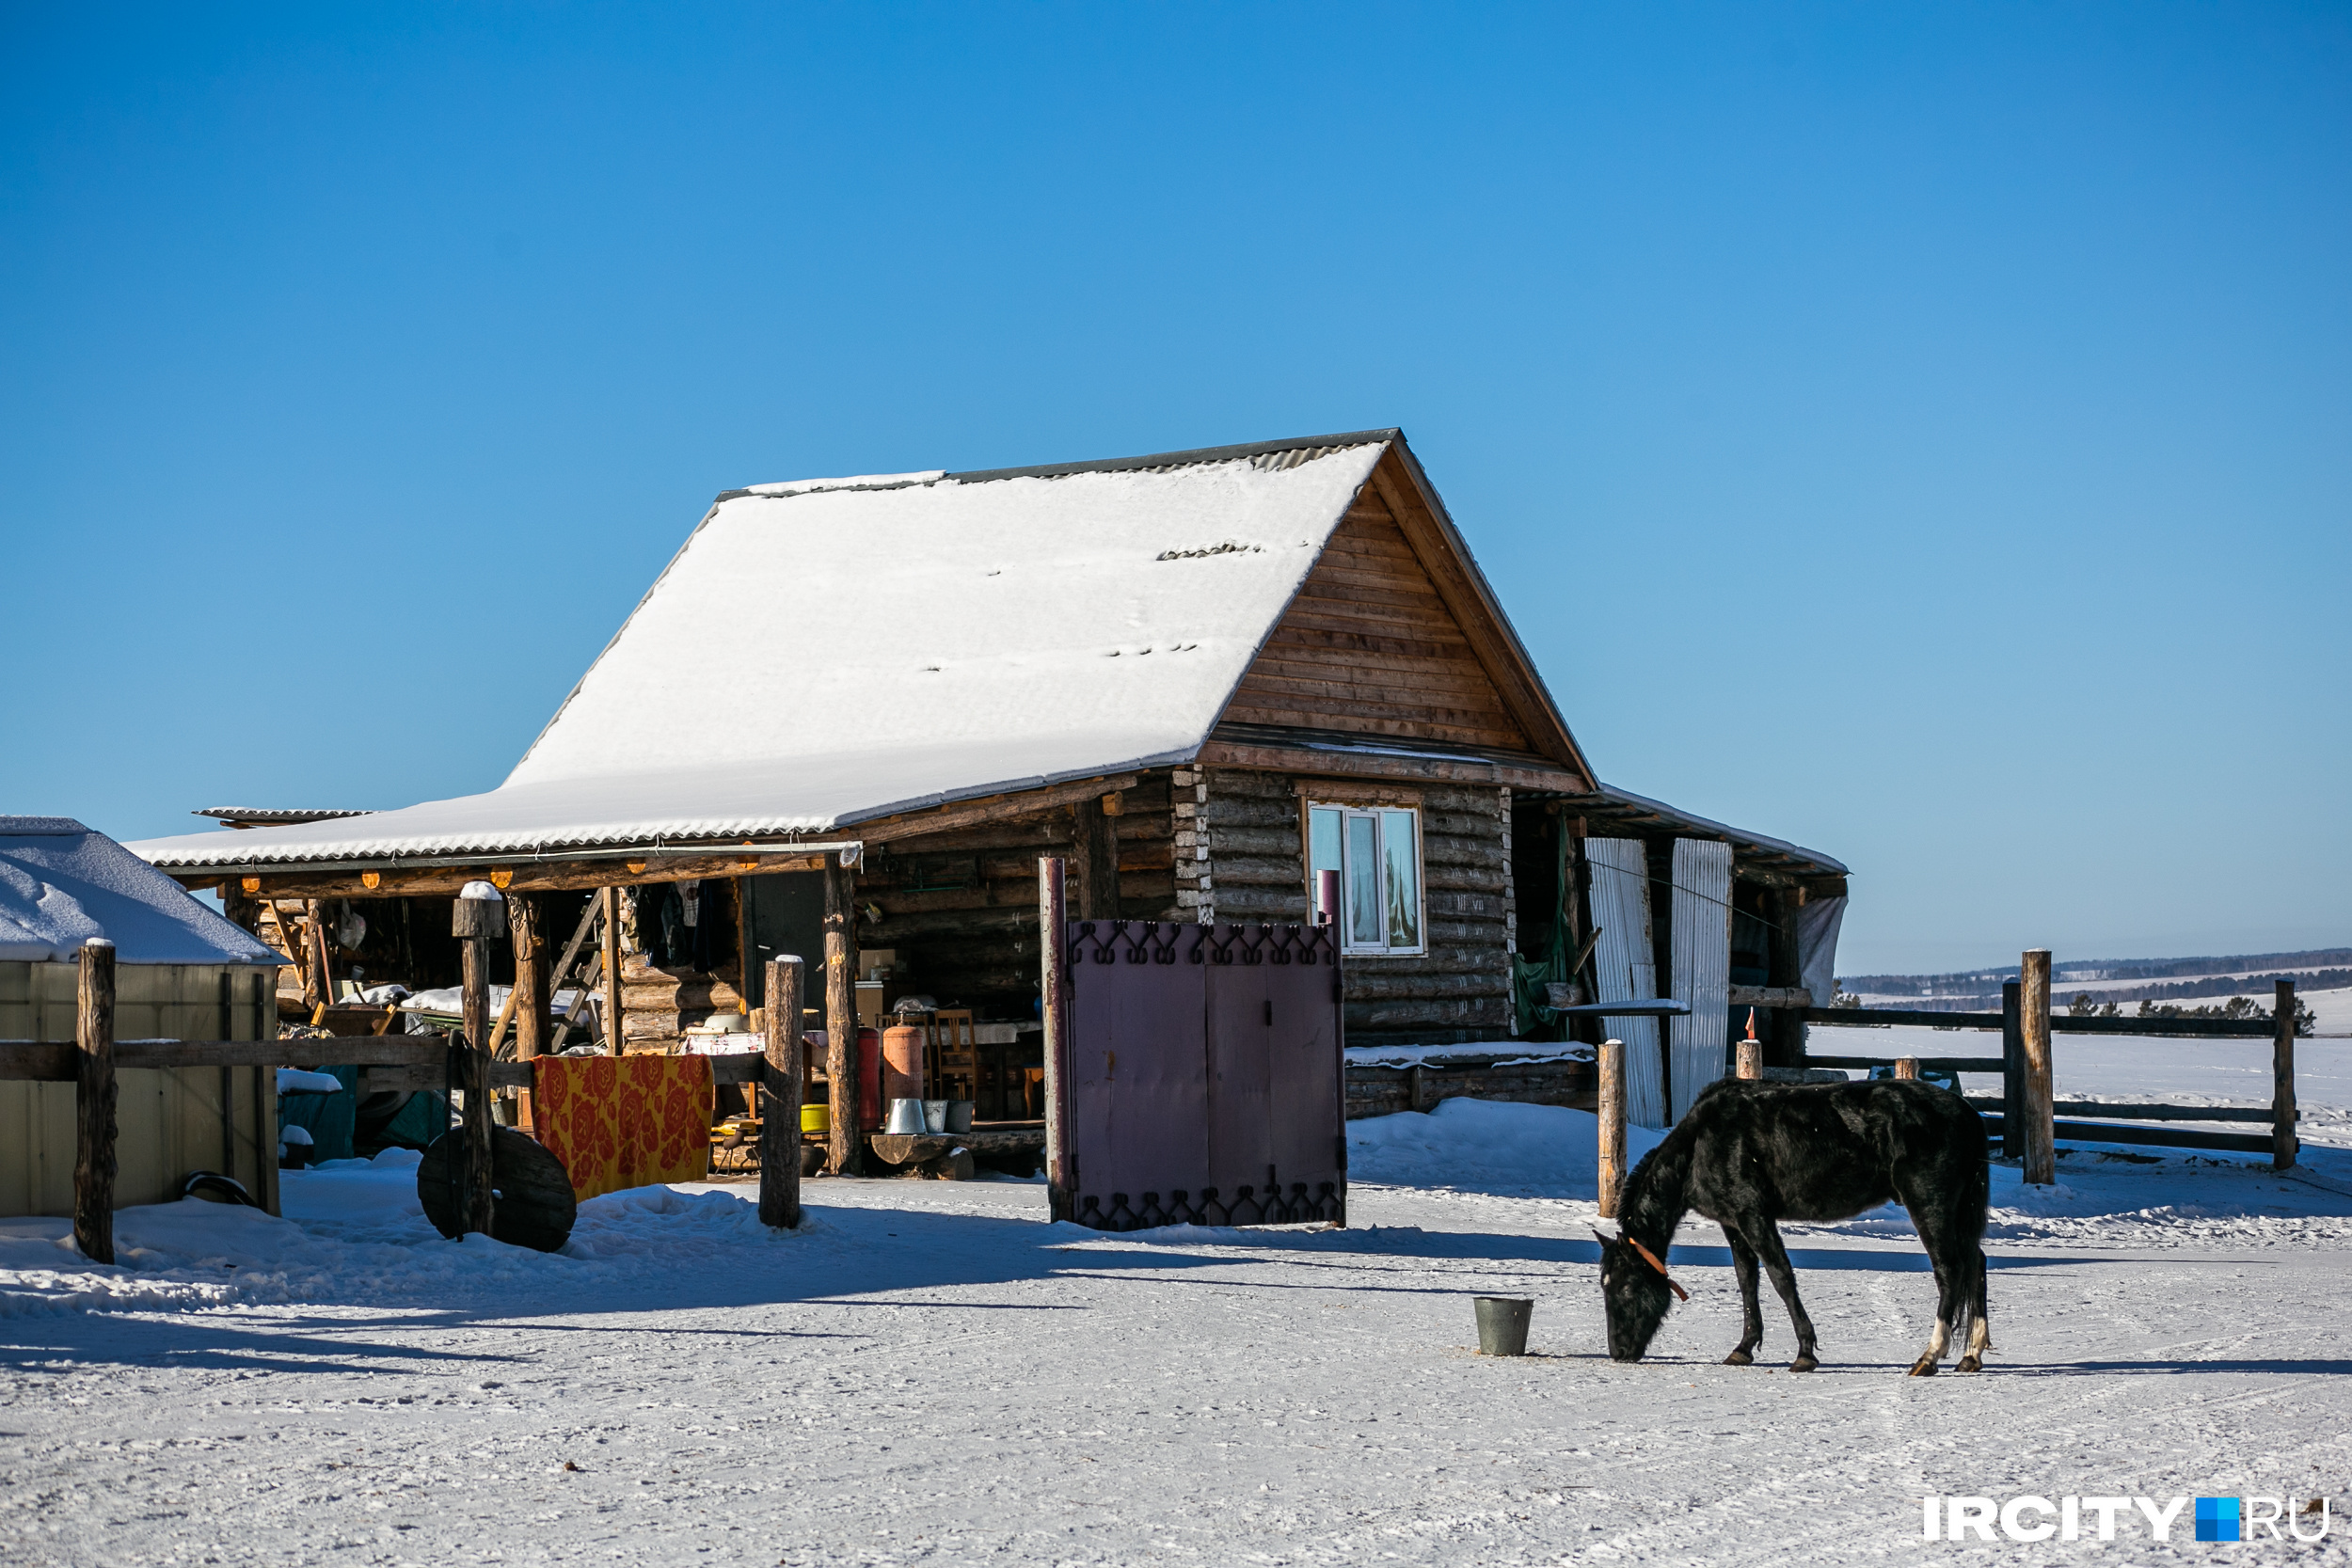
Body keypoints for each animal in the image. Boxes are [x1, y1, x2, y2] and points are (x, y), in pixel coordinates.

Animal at [1599, 1081, 1985, 1372]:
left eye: (1626, 1287)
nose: (1619, 1352)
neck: (1701, 1145)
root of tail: (1967, 1114)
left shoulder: (1753, 1216)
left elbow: (1781, 1277)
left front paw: (1805, 1352)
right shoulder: (1733, 1224)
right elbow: (1747, 1283)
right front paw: (1744, 1348)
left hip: (1929, 1204)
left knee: (1950, 1270)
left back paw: (1930, 1356)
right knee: (1976, 1264)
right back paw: (1971, 1355)